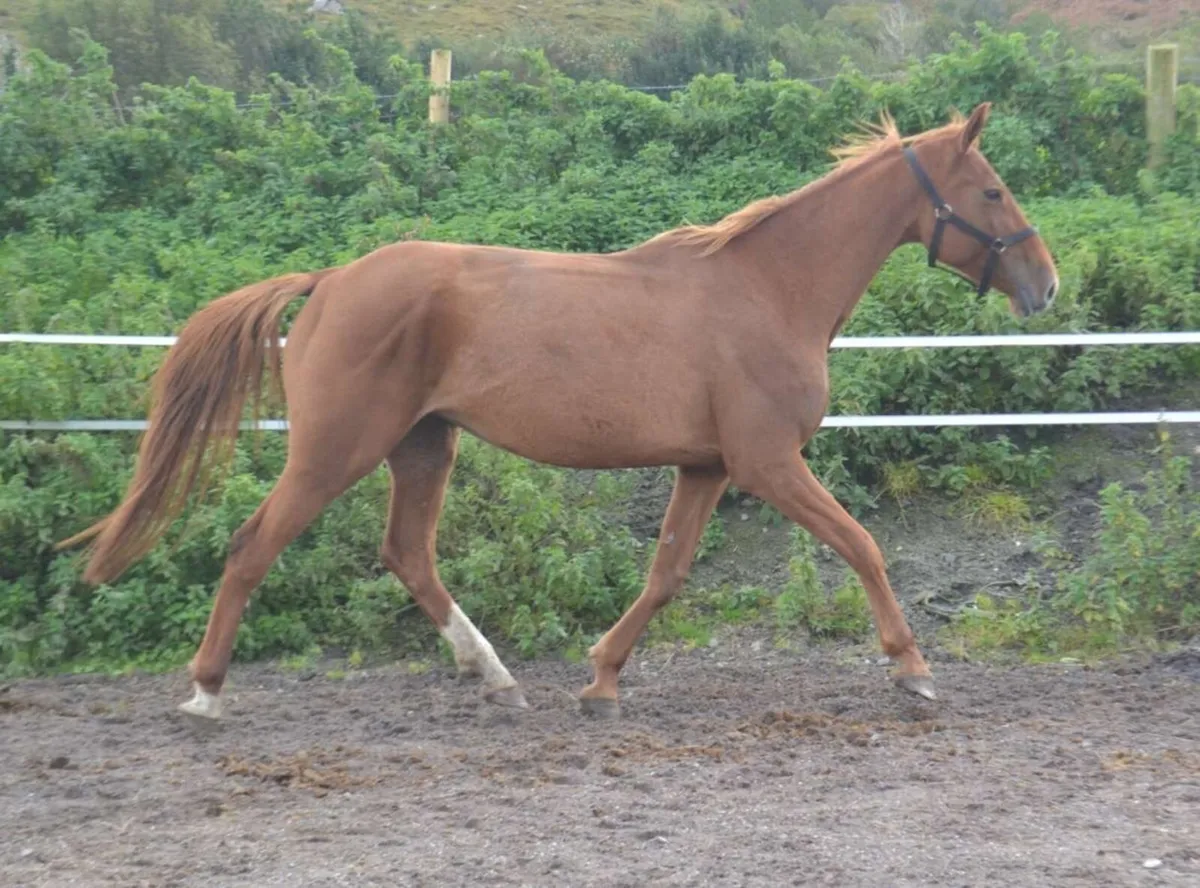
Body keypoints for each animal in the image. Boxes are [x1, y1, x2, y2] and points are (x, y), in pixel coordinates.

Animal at [58, 102, 1058, 720]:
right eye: (993, 190)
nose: (1045, 285)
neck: (769, 291)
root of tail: (332, 280)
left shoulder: (707, 466)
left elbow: (666, 573)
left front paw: (602, 679)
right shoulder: (768, 462)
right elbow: (863, 545)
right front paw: (914, 670)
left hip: (423, 446)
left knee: (408, 554)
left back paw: (497, 680)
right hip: (337, 449)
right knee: (251, 547)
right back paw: (206, 693)